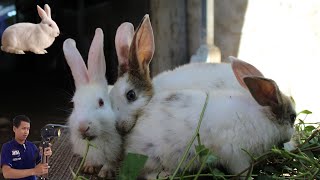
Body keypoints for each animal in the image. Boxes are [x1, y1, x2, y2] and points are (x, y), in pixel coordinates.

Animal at [62, 28, 121, 179]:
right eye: (74, 104)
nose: (83, 127)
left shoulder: (115, 151)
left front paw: (105, 172)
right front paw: (88, 168)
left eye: (101, 102)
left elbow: (110, 162)